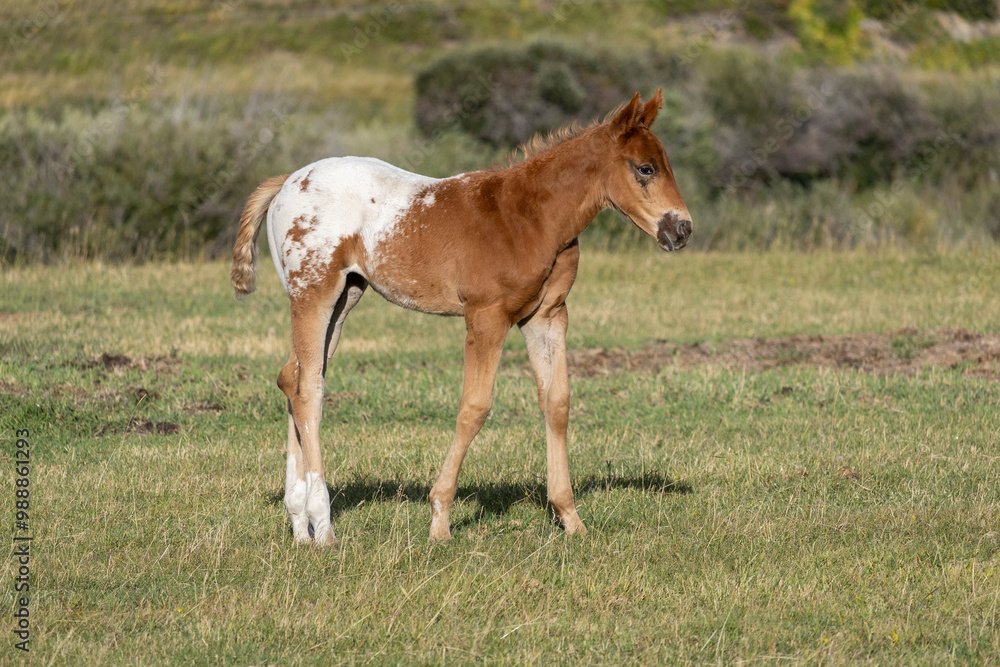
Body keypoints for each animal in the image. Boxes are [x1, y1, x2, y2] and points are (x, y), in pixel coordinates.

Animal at [231, 90, 692, 545]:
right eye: (645, 168)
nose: (683, 229)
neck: (531, 217)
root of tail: (287, 182)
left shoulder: (547, 317)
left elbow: (557, 402)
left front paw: (570, 519)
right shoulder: (486, 316)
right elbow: (475, 407)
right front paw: (439, 521)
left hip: (346, 297)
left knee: (293, 378)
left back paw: (299, 526)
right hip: (313, 295)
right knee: (308, 388)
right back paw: (323, 527)